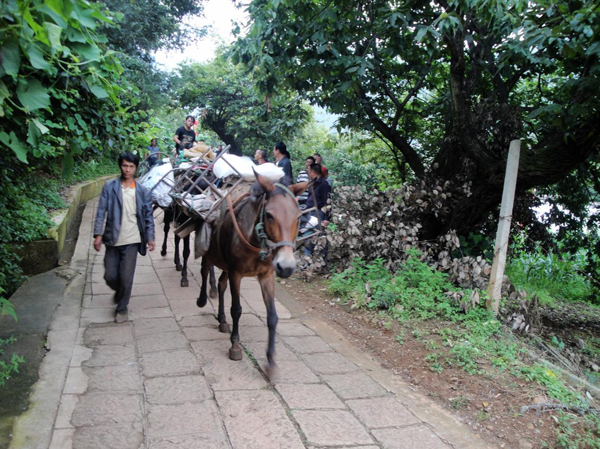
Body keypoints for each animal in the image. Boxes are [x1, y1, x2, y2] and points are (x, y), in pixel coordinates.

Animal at [196, 172, 309, 371]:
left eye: (298, 217)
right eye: (269, 215)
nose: (286, 267)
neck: (257, 243)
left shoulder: (267, 275)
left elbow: (272, 316)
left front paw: (271, 362)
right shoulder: (236, 273)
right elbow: (236, 309)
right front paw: (235, 346)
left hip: (226, 265)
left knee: (222, 284)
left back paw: (222, 320)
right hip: (210, 254)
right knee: (204, 272)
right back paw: (202, 300)